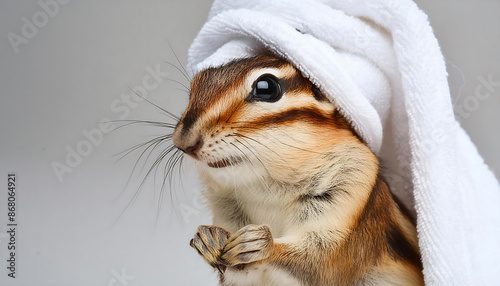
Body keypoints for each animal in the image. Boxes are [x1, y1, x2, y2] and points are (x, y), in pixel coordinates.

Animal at [173, 52, 426, 284]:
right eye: (195, 84)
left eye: (266, 87)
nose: (182, 142)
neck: (266, 188)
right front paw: (208, 238)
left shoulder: (354, 192)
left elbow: (322, 266)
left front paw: (261, 244)